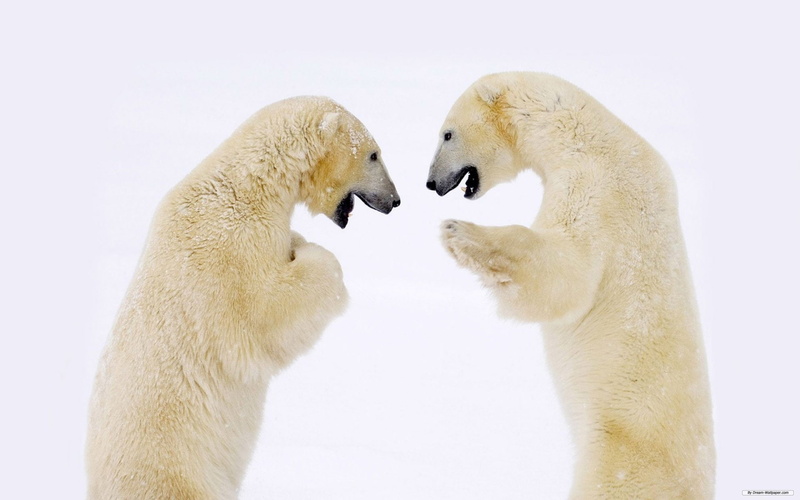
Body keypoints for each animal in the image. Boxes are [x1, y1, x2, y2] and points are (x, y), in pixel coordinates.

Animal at [86, 96, 400, 499]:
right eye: (374, 154)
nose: (395, 200)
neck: (248, 186)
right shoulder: (229, 248)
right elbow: (266, 315)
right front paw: (311, 253)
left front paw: (297, 241)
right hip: (178, 475)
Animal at [426, 72, 715, 499]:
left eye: (446, 134)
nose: (431, 182)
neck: (585, 135)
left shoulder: (599, 188)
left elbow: (568, 276)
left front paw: (459, 232)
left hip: (620, 460)